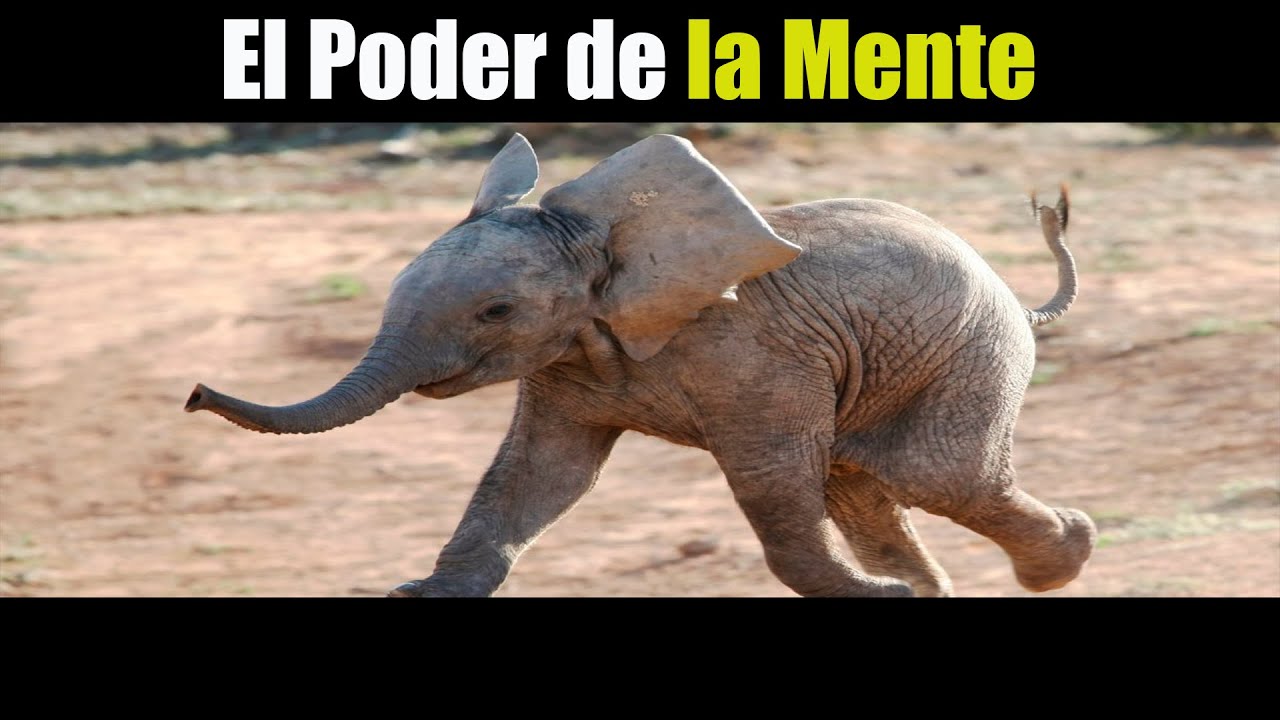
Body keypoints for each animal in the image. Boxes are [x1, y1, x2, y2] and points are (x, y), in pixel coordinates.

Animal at [183, 133, 1096, 598]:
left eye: (495, 312)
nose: (191, 393)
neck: (601, 244)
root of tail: (1018, 298)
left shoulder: (753, 356)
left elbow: (770, 481)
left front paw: (880, 598)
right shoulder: (565, 361)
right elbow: (539, 475)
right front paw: (421, 596)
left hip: (969, 353)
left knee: (933, 476)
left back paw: (1062, 561)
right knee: (864, 485)